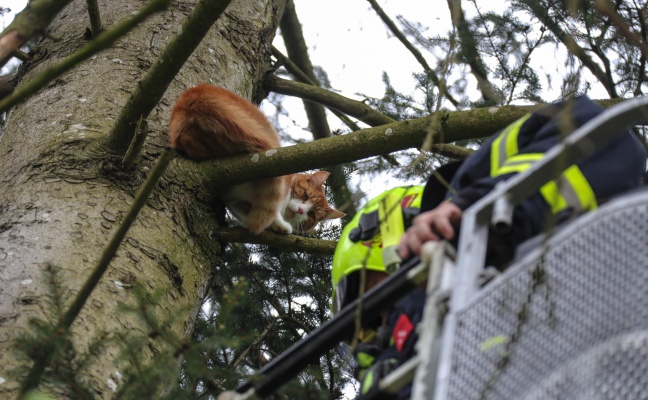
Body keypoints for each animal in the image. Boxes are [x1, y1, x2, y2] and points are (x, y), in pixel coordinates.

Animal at [170, 83, 346, 234]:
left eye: (311, 215)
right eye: (304, 197)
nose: (301, 210)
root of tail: (193, 99)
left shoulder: (233, 201)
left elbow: (248, 214)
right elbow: (272, 209)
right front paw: (280, 224)